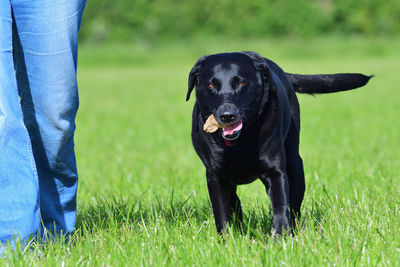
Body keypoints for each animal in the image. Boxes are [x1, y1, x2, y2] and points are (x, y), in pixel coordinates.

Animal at [186, 51, 370, 236]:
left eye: (242, 83)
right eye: (211, 85)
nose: (227, 115)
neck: (240, 142)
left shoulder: (275, 170)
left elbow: (281, 204)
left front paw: (281, 235)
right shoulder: (215, 176)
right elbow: (222, 213)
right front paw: (227, 239)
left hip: (295, 165)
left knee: (294, 204)